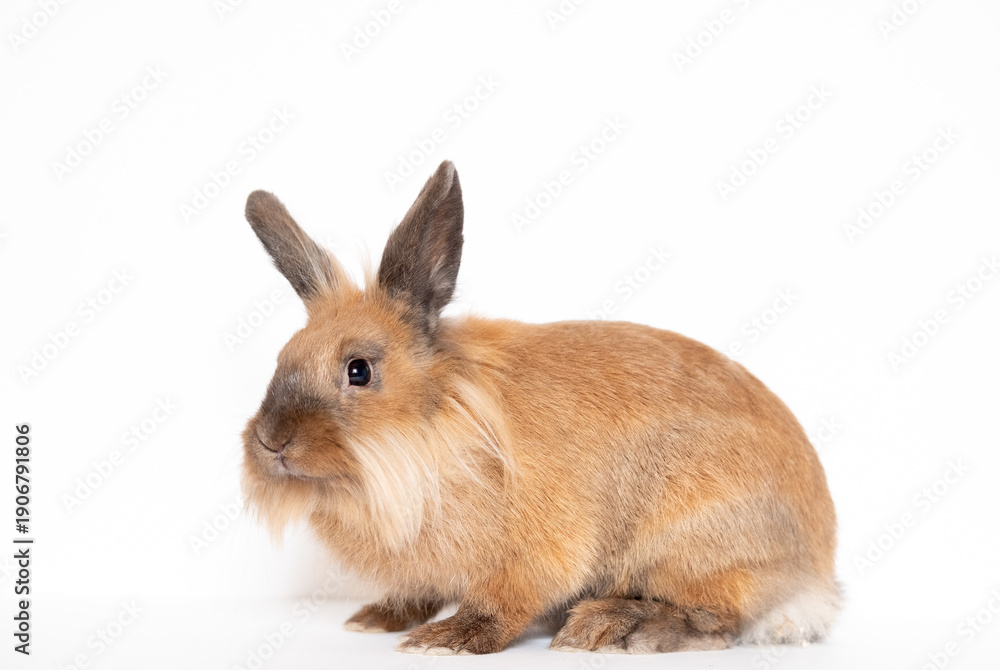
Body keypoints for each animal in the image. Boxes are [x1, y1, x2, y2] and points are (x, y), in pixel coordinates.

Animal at [240, 160, 840, 655]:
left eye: (358, 370)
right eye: (282, 357)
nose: (271, 440)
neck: (437, 427)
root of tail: (813, 573)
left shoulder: (538, 553)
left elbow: (504, 601)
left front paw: (447, 639)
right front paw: (375, 619)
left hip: (692, 536)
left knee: (719, 618)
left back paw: (613, 627)